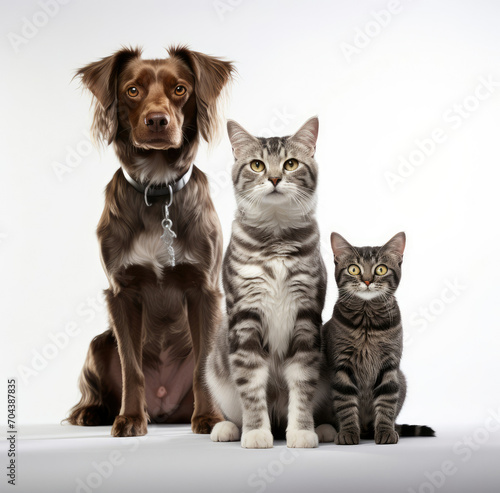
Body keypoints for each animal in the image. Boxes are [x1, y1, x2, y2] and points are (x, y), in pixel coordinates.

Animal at [66, 48, 234, 436]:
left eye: (180, 89)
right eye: (132, 90)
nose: (157, 120)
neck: (158, 192)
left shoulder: (204, 290)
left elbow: (203, 365)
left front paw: (208, 418)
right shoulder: (122, 292)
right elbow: (132, 366)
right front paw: (129, 417)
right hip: (98, 343)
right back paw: (92, 411)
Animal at [205, 117, 326, 448]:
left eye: (290, 164)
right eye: (257, 165)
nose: (273, 178)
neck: (275, 237)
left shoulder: (306, 316)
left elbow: (303, 383)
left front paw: (302, 431)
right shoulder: (245, 316)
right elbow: (250, 386)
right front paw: (256, 431)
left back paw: (326, 428)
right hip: (214, 369)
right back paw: (228, 428)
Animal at [316, 233, 434, 444]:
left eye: (381, 269)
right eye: (354, 269)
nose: (367, 281)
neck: (367, 324)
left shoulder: (389, 364)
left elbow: (387, 401)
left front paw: (385, 431)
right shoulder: (342, 365)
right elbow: (346, 403)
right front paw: (348, 432)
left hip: (401, 379)